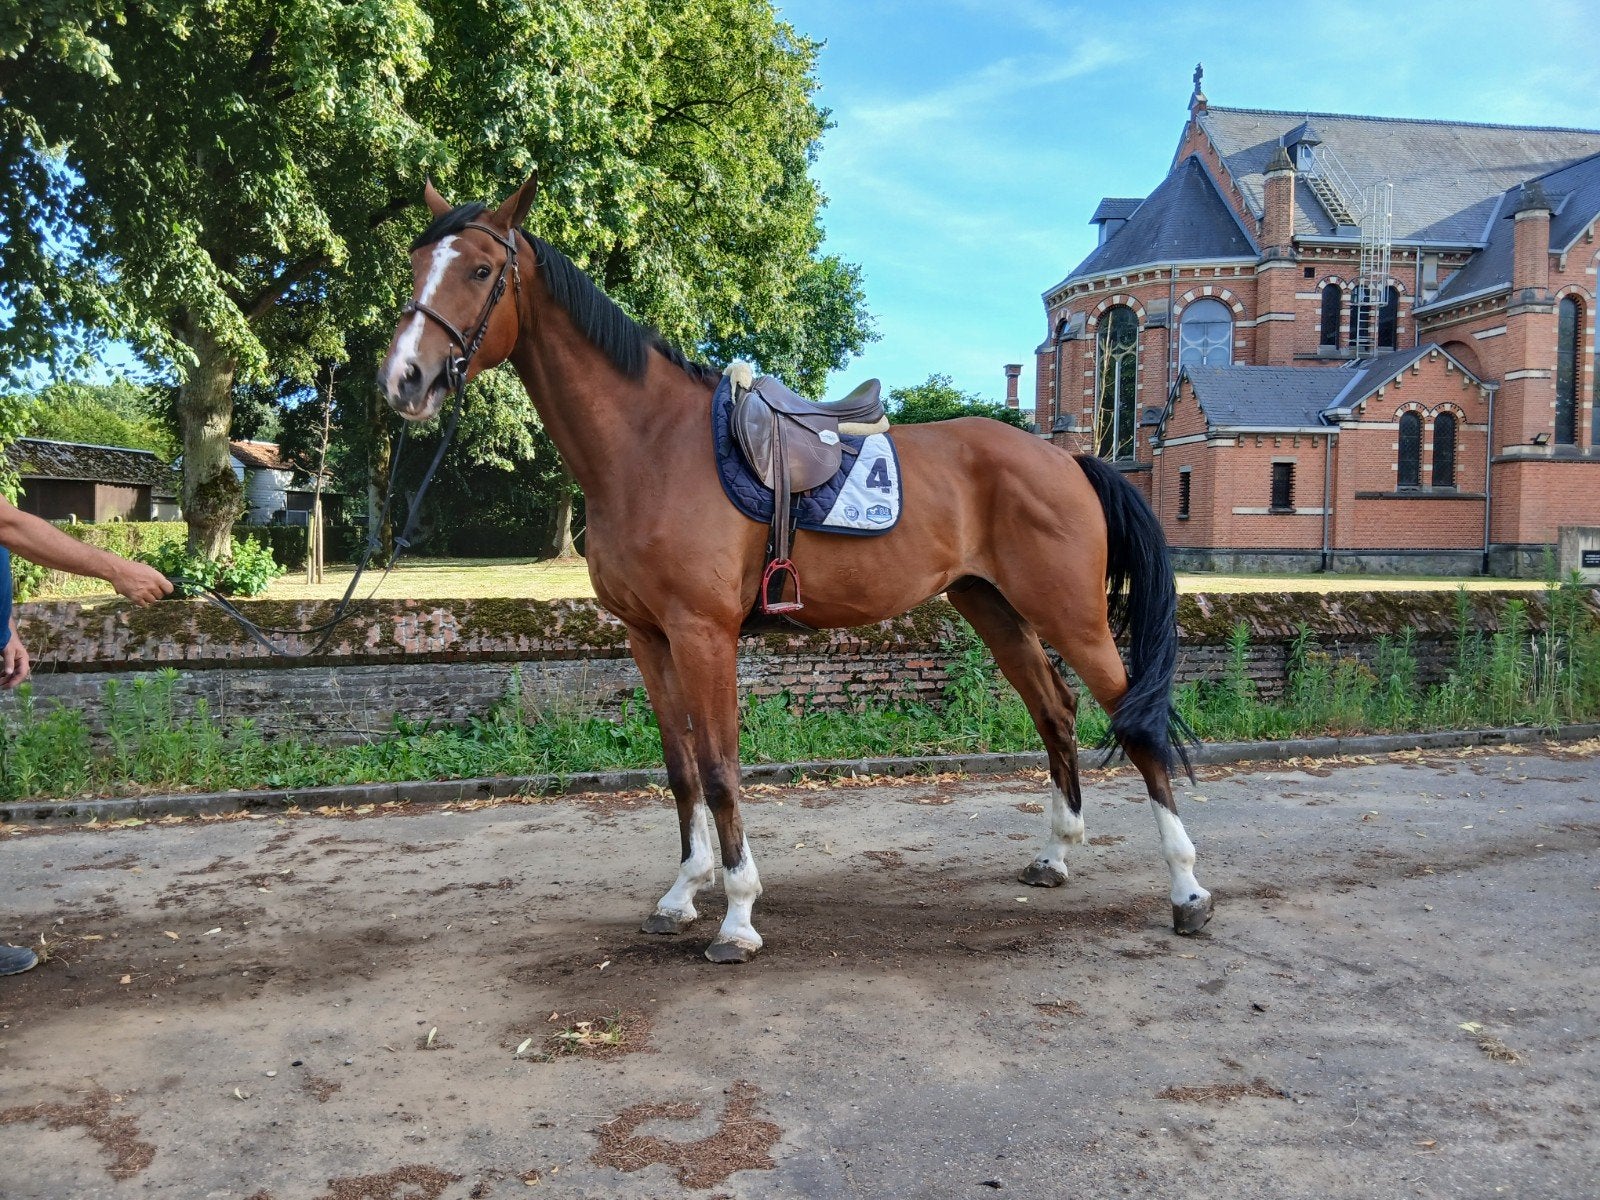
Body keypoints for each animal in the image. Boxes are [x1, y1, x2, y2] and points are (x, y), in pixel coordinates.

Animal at [377, 175, 1212, 963]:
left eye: (482, 269)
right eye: (415, 264)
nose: (404, 379)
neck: (648, 446)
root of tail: (1069, 462)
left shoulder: (704, 634)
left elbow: (720, 770)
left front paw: (738, 916)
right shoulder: (649, 638)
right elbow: (680, 768)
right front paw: (681, 894)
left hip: (1071, 614)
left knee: (1136, 723)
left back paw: (1188, 891)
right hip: (996, 609)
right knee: (1056, 714)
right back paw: (1056, 856)